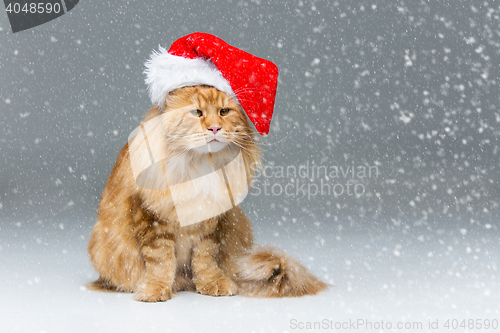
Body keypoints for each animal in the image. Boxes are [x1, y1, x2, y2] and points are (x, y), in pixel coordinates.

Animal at [88, 84, 328, 300]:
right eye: (197, 113)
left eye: (224, 112)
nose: (214, 128)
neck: (200, 166)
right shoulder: (152, 220)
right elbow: (160, 262)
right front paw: (155, 290)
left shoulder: (210, 224)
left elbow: (205, 259)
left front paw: (212, 284)